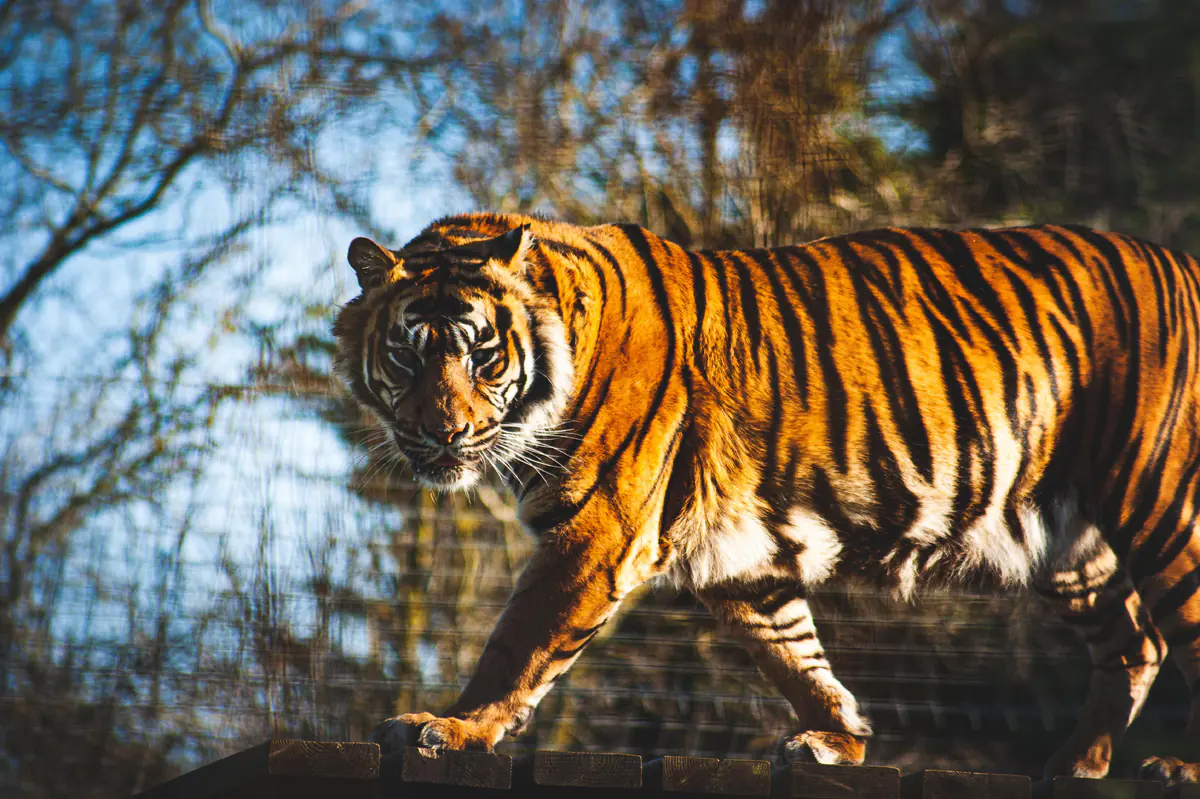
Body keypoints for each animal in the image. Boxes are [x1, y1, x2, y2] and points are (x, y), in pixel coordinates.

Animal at [332, 213, 1200, 784]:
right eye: (407, 358)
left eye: (482, 356)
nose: (442, 433)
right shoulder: (737, 560)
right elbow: (794, 654)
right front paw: (838, 737)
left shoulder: (597, 532)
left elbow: (519, 640)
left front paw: (451, 727)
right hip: (1065, 543)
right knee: (1137, 641)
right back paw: (1076, 764)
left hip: (1161, 500)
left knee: (1172, 625)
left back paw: (1173, 766)